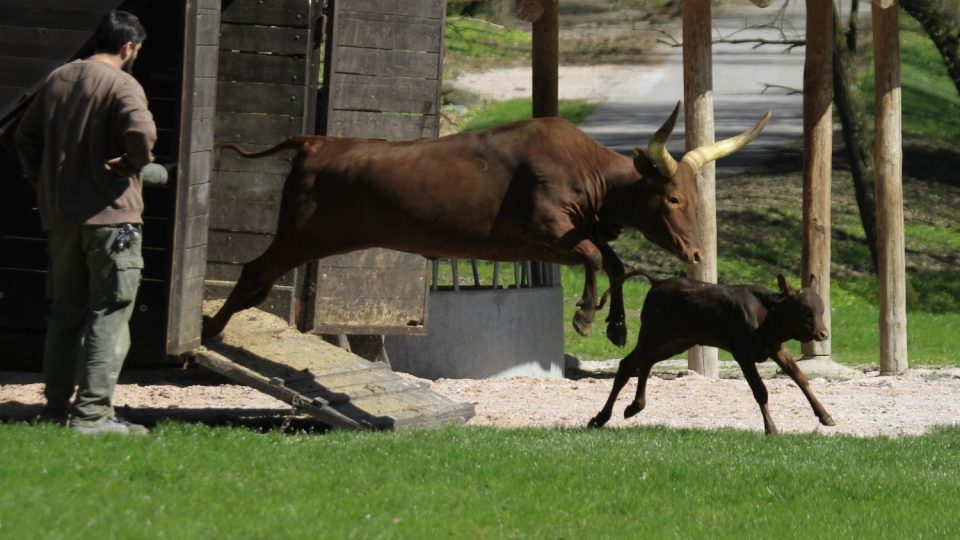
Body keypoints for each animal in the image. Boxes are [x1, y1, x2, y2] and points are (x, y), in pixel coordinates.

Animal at [202, 102, 772, 342]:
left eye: (694, 198)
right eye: (673, 197)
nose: (697, 254)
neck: (587, 171)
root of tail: (315, 141)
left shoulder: (561, 239)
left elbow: (612, 261)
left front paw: (614, 325)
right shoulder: (542, 233)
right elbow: (595, 256)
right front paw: (586, 317)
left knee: (258, 279)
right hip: (298, 234)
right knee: (253, 273)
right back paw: (207, 334)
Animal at [584, 270, 832, 434]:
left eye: (821, 309)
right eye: (805, 310)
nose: (823, 333)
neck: (768, 317)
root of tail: (658, 281)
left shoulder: (776, 348)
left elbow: (801, 378)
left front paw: (825, 415)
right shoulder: (742, 352)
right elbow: (760, 390)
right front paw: (770, 427)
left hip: (677, 341)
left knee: (647, 362)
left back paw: (634, 406)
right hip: (652, 334)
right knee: (627, 365)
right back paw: (600, 417)